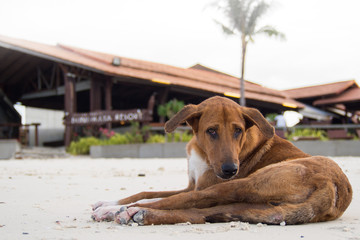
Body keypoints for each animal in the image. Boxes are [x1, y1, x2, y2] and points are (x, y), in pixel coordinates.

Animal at [90, 95, 352, 225]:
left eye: (238, 131)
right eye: (212, 131)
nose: (230, 169)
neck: (202, 150)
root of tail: (333, 188)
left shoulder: (202, 186)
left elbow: (160, 197)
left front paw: (112, 205)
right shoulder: (192, 183)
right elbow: (146, 191)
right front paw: (110, 201)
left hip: (243, 184)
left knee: (188, 203)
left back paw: (123, 212)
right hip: (252, 200)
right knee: (202, 212)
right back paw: (128, 212)